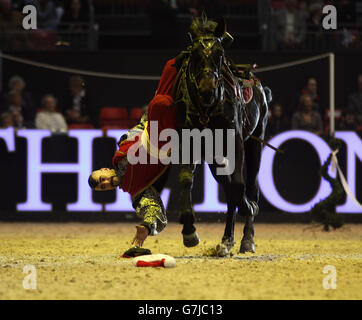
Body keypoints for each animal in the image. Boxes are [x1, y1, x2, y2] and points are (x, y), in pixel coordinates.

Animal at [173, 18, 272, 258]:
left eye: (220, 54)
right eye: (195, 53)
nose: (207, 89)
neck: (207, 109)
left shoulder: (236, 142)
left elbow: (238, 186)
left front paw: (249, 208)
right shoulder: (189, 143)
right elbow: (186, 180)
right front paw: (189, 230)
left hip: (255, 143)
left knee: (249, 186)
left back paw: (246, 238)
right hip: (214, 157)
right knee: (228, 190)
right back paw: (227, 240)